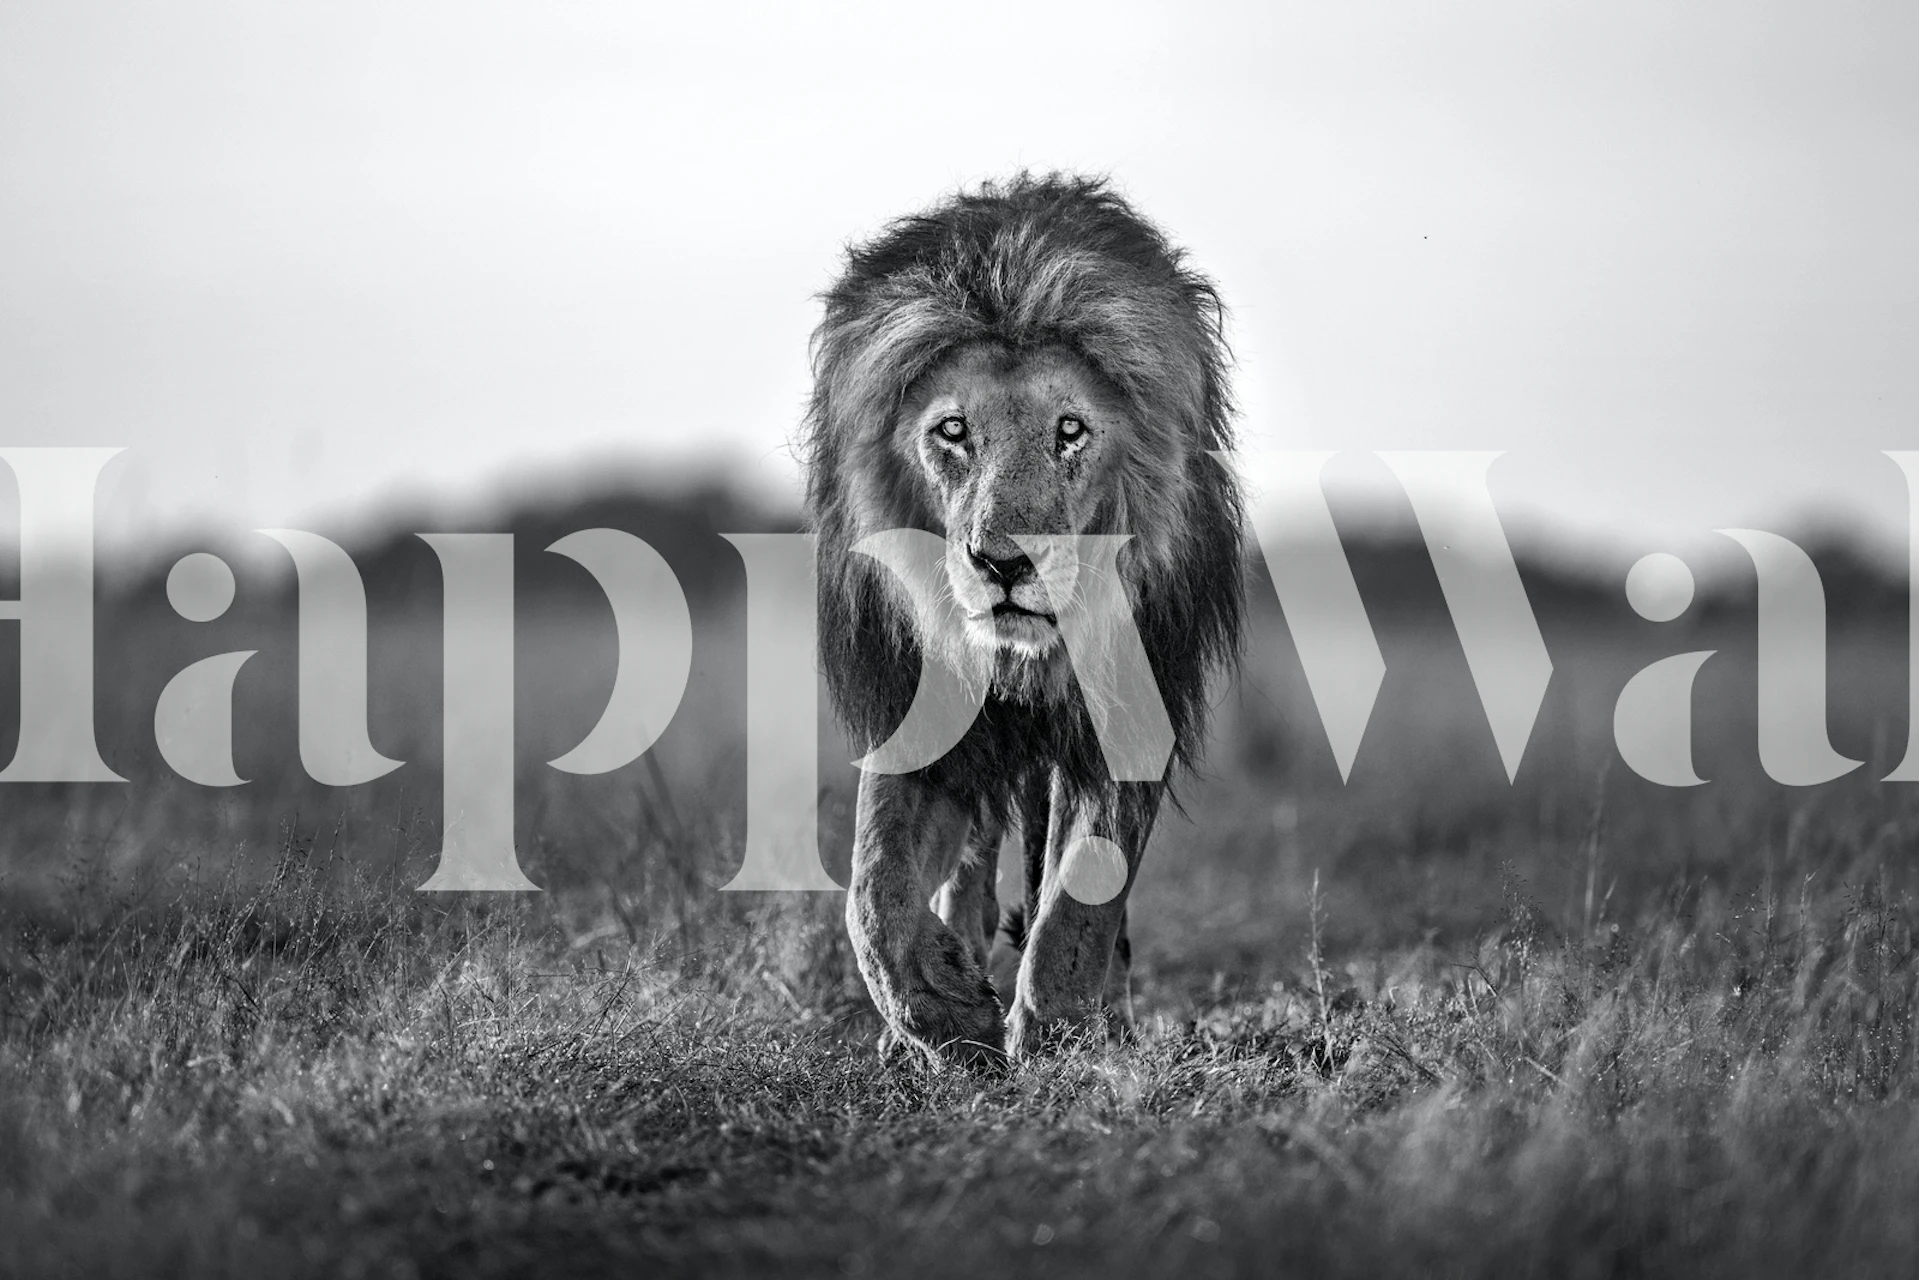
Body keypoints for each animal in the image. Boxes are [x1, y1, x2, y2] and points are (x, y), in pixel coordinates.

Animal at [803, 173, 1244, 1067]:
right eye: (952, 431)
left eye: (1069, 431)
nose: (1005, 565)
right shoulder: (917, 706)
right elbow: (872, 888)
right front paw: (939, 1010)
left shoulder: (1128, 708)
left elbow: (1081, 895)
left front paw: (1059, 1029)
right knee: (964, 865)